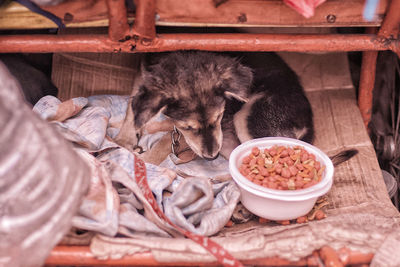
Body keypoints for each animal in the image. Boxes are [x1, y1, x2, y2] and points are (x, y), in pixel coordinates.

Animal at [130, 51, 314, 161]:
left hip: (248, 117)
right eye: (188, 127)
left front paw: (144, 161)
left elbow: (165, 141)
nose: (211, 156)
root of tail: (308, 122)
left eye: (218, 116)